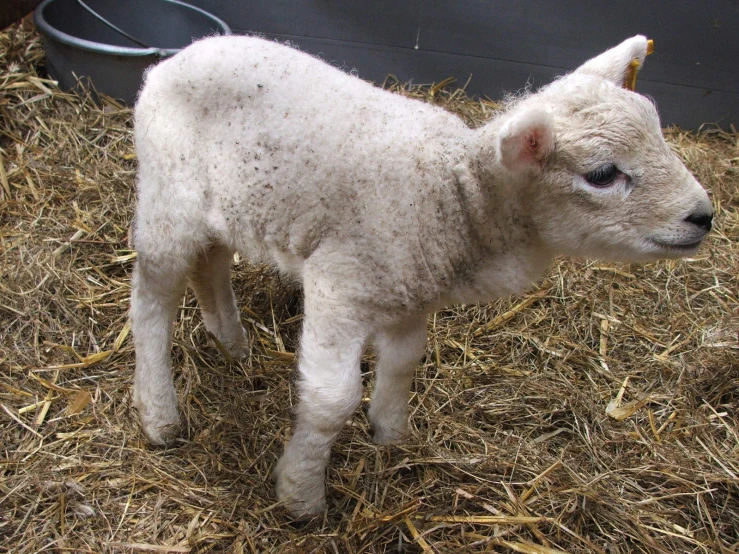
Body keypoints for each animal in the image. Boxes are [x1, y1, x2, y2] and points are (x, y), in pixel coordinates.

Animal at [130, 34, 712, 516]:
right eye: (603, 174)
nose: (704, 216)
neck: (455, 196)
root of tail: (175, 58)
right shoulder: (340, 286)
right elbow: (331, 400)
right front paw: (301, 494)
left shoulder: (410, 295)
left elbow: (405, 361)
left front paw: (392, 434)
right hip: (166, 198)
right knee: (151, 301)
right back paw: (159, 414)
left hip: (222, 208)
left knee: (210, 264)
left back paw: (233, 345)